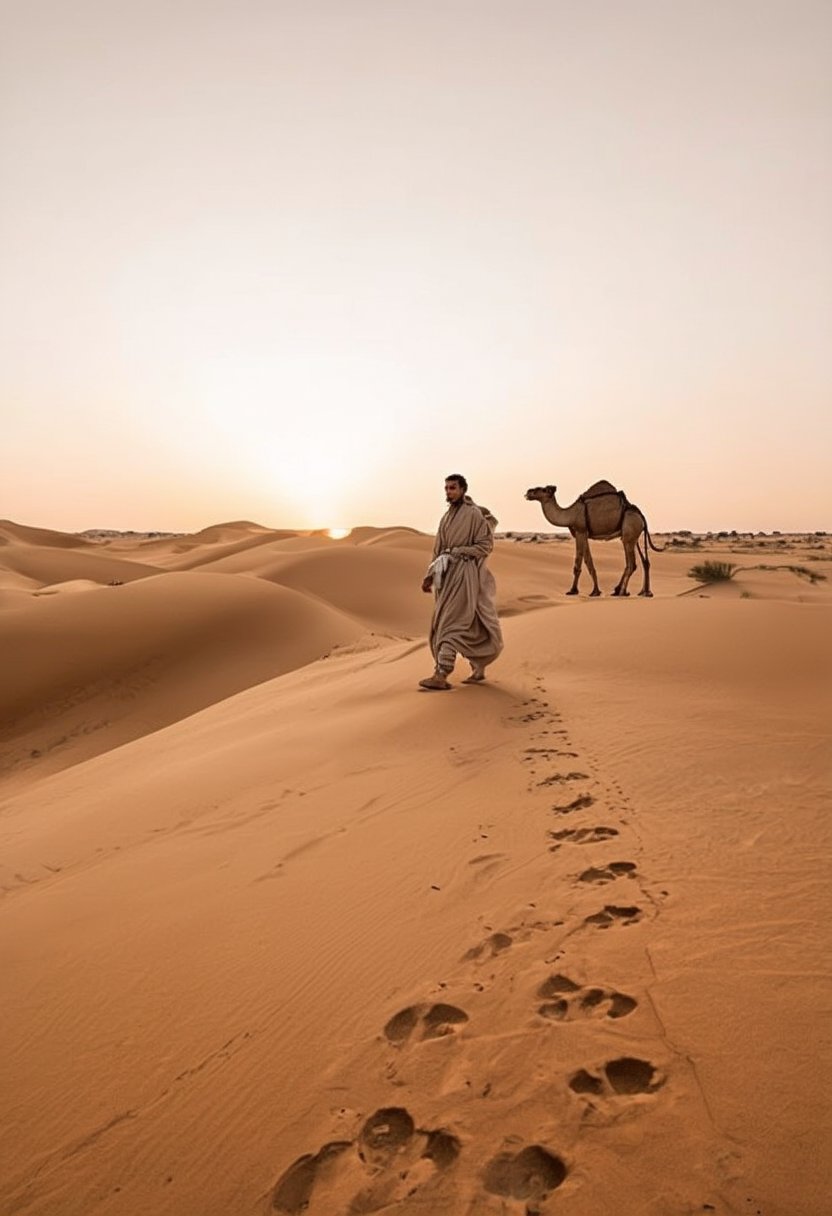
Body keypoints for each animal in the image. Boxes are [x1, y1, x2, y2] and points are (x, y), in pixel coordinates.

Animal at [525, 483, 661, 598]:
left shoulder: (580, 531)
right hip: (633, 536)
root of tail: (641, 516)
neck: (570, 514)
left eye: (542, 489)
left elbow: (579, 562)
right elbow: (588, 561)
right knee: (644, 561)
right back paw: (642, 592)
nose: (528, 492)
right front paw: (595, 591)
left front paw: (574, 591)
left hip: (629, 534)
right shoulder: (583, 534)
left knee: (631, 564)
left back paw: (622, 592)